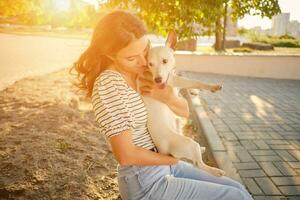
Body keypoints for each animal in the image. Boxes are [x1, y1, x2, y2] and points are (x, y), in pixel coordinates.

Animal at [138, 30, 225, 177]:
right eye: (150, 64)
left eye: (165, 61)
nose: (157, 80)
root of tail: (165, 152)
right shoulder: (176, 81)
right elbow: (195, 81)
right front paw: (211, 87)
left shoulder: (176, 84)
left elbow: (190, 86)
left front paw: (194, 92)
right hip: (189, 144)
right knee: (199, 164)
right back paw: (215, 170)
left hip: (179, 125)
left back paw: (202, 149)